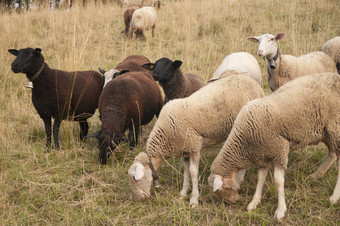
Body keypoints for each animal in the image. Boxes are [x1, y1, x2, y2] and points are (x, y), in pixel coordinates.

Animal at [207, 72, 340, 221]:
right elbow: (260, 178)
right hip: (326, 131)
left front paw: (280, 210)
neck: (244, 140)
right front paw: (254, 203)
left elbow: (278, 181)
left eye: (223, 189)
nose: (234, 201)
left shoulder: (279, 150)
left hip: (335, 127)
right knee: (332, 154)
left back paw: (334, 197)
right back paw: (316, 176)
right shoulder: (263, 154)